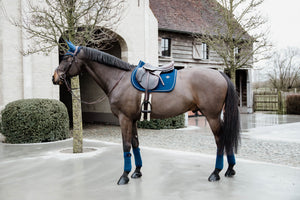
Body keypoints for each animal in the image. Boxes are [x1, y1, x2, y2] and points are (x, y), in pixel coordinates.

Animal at [51, 41, 239, 184]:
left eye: (67, 58)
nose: (54, 77)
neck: (118, 79)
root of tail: (220, 75)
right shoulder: (132, 119)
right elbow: (135, 144)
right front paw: (137, 171)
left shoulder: (124, 119)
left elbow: (126, 145)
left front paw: (124, 176)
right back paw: (230, 169)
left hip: (212, 116)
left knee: (220, 140)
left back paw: (216, 172)